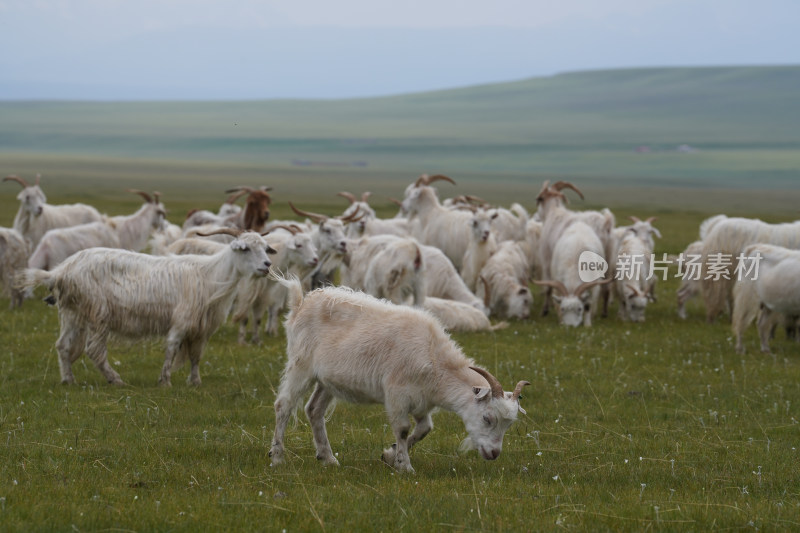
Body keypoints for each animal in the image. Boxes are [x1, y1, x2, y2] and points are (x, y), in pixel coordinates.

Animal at [18, 227, 276, 384]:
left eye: (265, 247)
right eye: (246, 248)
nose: (267, 265)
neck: (210, 274)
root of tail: (61, 271)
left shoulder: (201, 329)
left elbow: (196, 356)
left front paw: (195, 382)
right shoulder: (181, 321)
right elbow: (172, 349)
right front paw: (165, 381)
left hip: (72, 314)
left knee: (62, 346)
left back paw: (68, 380)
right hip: (98, 314)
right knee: (94, 350)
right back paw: (115, 380)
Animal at [268, 276, 532, 472]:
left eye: (508, 425)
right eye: (487, 418)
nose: (494, 453)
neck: (434, 359)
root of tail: (301, 303)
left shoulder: (422, 401)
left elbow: (424, 429)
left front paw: (390, 454)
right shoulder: (396, 394)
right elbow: (403, 428)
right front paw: (404, 466)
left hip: (327, 381)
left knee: (314, 410)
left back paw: (328, 458)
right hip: (301, 365)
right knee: (284, 405)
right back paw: (277, 456)